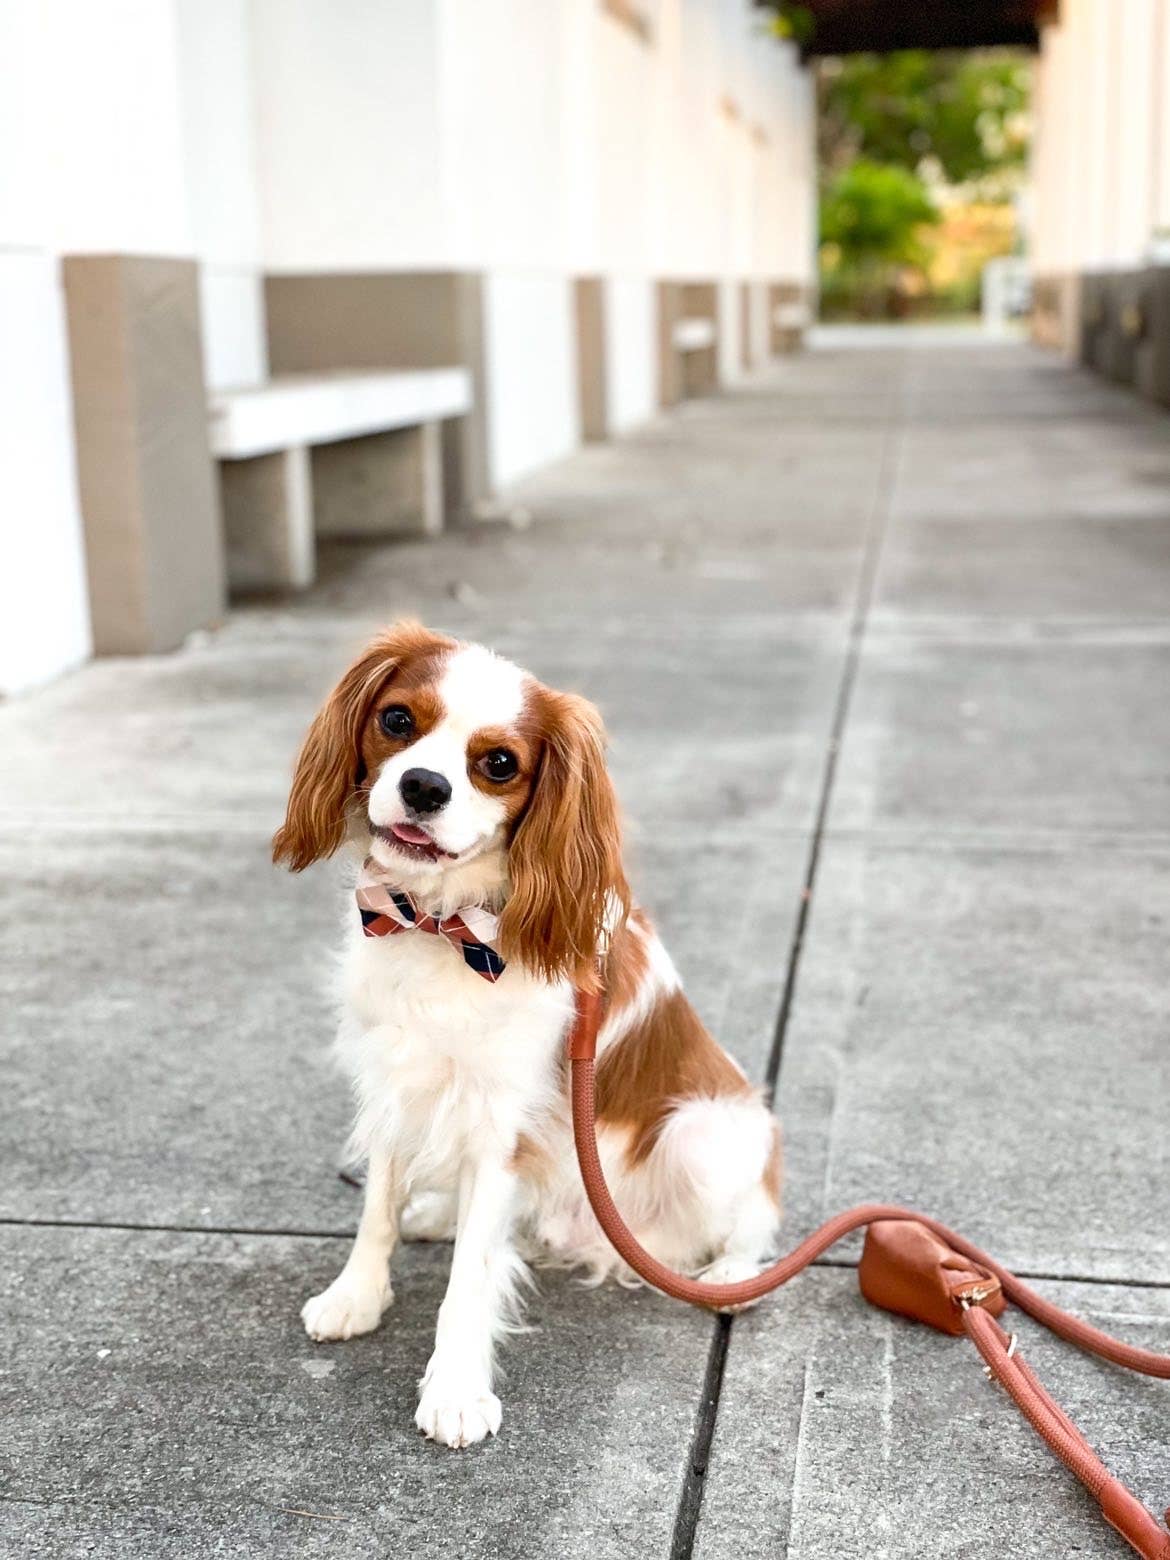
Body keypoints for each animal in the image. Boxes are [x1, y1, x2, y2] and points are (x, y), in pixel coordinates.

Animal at [276, 620, 783, 1447]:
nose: (425, 786)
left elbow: (470, 1280)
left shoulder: (501, 1128)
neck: (444, 927)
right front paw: (357, 1295)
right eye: (396, 720)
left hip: (705, 1134)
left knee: (754, 1225)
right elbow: (376, 1210)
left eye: (499, 764)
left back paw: (732, 1279)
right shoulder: (396, 1084)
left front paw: (454, 1389)